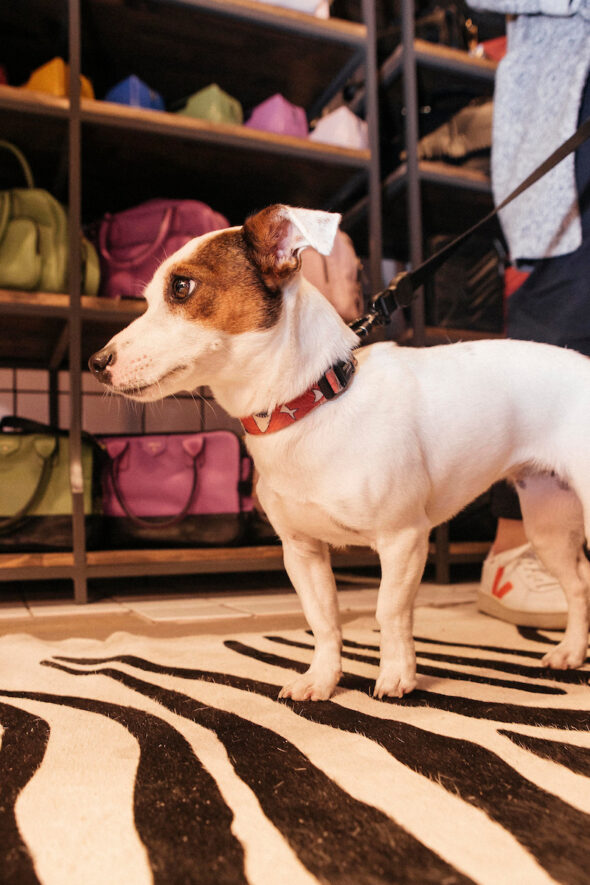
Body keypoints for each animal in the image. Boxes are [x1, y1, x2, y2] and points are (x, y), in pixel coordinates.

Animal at [89, 204, 590, 701]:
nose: (95, 363)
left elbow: (389, 611)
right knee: (579, 584)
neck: (312, 401)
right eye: (148, 298)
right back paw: (570, 651)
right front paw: (322, 679)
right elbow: (323, 619)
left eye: (182, 287)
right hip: (547, 527)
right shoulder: (302, 551)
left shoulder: (403, 539)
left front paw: (397, 676)